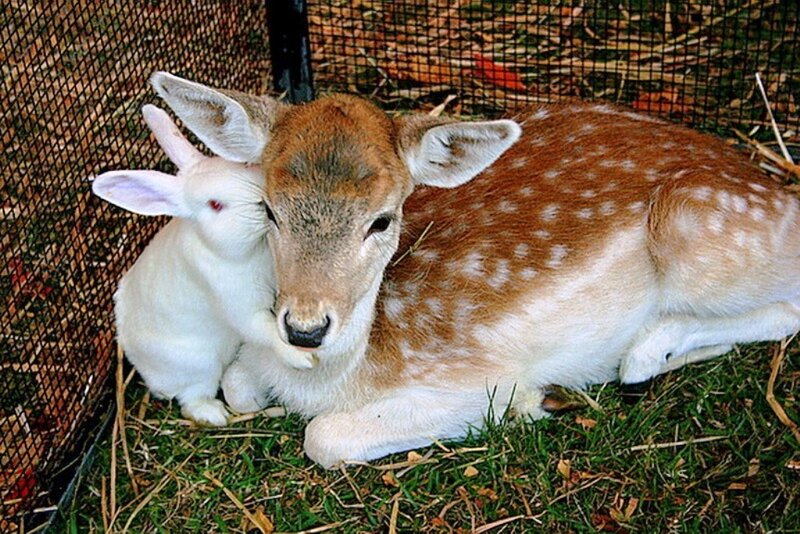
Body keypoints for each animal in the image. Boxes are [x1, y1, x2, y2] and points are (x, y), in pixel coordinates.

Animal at [92, 104, 313, 426]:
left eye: (244, 166)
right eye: (215, 205)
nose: (263, 201)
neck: (253, 249)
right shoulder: (240, 306)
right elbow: (266, 330)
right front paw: (304, 358)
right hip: (200, 367)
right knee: (190, 401)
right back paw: (216, 415)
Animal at [151, 71, 800, 467]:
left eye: (382, 220)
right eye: (269, 208)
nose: (305, 328)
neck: (336, 377)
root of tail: (778, 185)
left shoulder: (475, 375)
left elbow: (323, 436)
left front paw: (528, 403)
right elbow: (237, 385)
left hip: (703, 230)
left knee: (785, 309)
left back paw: (645, 352)